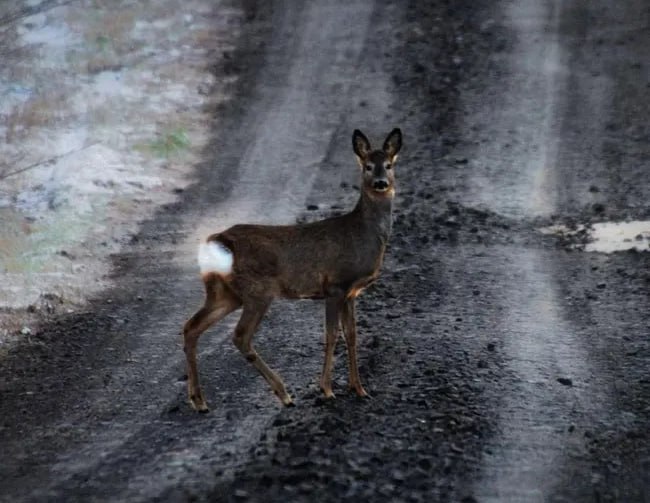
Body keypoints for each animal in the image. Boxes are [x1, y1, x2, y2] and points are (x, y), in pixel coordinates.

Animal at [182, 128, 400, 412]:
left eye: (389, 164)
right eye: (367, 166)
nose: (381, 183)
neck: (363, 233)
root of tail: (216, 241)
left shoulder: (352, 292)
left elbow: (352, 335)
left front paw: (359, 389)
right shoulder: (335, 285)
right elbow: (332, 335)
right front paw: (327, 389)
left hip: (225, 292)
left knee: (191, 327)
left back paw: (199, 400)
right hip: (257, 291)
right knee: (240, 336)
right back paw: (283, 393)